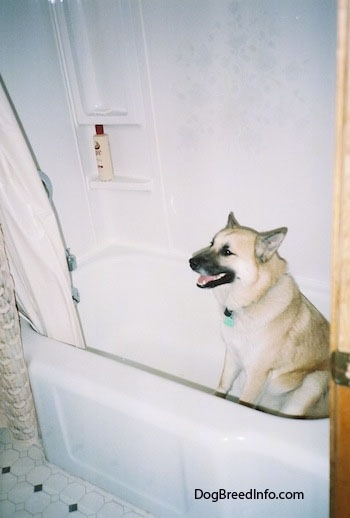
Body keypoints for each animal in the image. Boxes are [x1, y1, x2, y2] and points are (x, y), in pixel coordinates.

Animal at [189, 213, 328, 420]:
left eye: (227, 252)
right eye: (211, 243)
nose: (191, 262)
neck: (256, 298)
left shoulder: (257, 374)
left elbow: (244, 401)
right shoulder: (232, 356)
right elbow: (223, 385)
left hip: (313, 382)